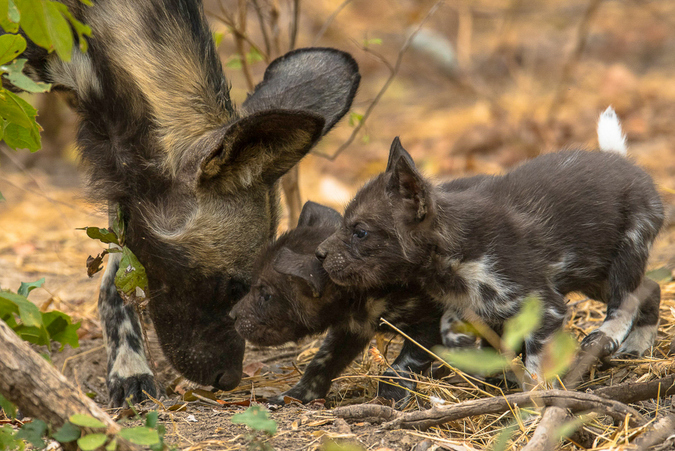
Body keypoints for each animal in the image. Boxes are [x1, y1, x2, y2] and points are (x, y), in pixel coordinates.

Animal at [318, 110, 664, 388]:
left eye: (360, 232)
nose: (319, 254)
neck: (453, 253)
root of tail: (625, 163)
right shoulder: (476, 306)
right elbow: (451, 327)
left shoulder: (547, 306)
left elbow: (536, 368)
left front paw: (535, 402)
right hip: (595, 274)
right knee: (651, 288)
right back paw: (637, 346)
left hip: (625, 255)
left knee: (626, 300)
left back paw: (608, 335)